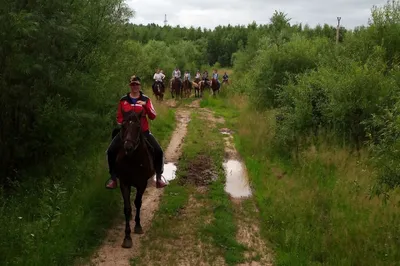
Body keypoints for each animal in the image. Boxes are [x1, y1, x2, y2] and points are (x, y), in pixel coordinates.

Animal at [115, 111, 155, 248]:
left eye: (138, 127)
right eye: (123, 126)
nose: (128, 147)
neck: (132, 160)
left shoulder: (142, 184)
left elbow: (138, 203)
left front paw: (138, 226)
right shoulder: (124, 183)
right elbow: (127, 208)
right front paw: (127, 237)